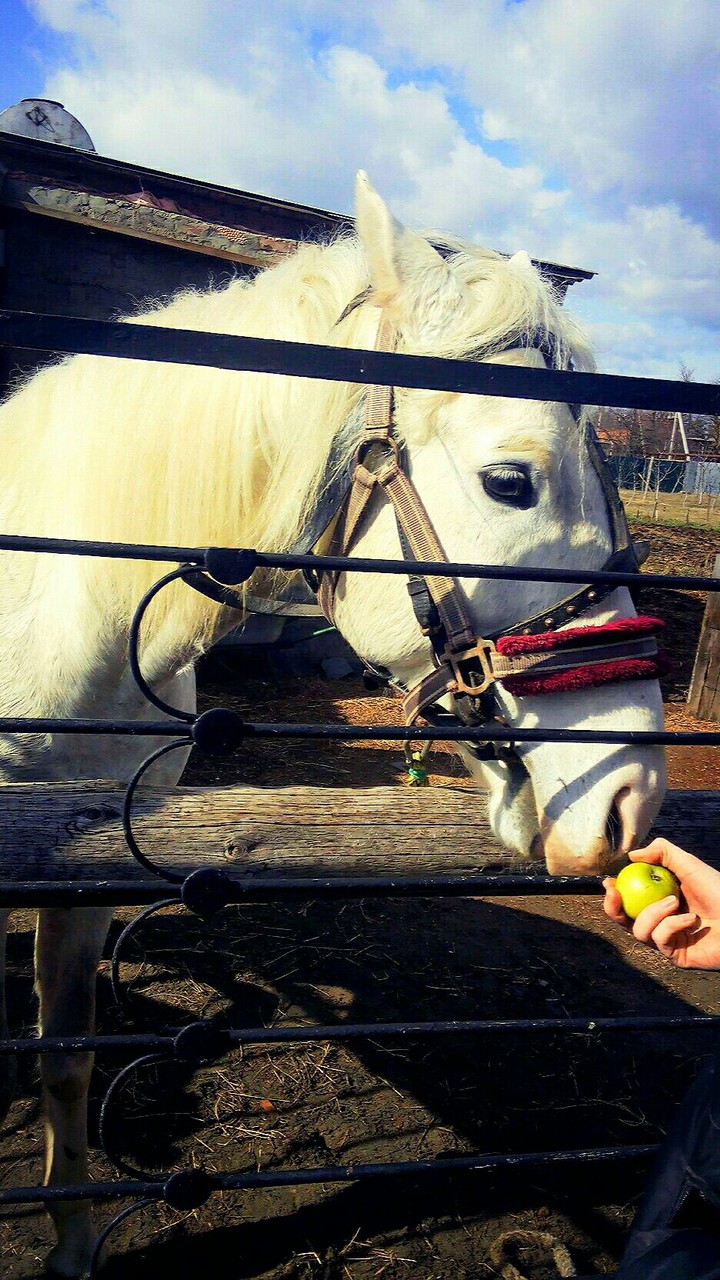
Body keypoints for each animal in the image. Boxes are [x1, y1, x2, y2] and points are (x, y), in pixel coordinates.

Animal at [0, 172, 666, 1275]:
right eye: (511, 480)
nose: (631, 797)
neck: (55, 596)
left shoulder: (75, 877)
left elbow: (62, 1060)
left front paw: (72, 1243)